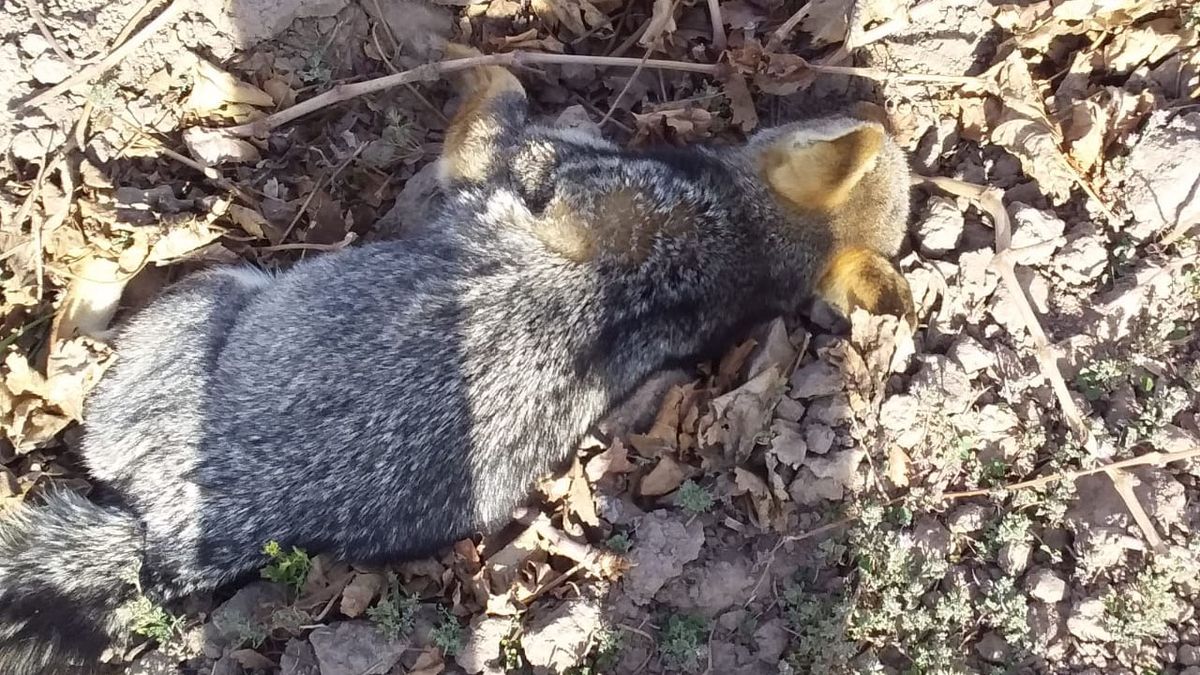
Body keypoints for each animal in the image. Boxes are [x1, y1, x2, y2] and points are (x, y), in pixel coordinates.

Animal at [0, 47, 913, 673]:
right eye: (844, 114)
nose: (882, 98)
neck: (739, 247)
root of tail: (184, 534)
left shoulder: (531, 164)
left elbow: (497, 95)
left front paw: (470, 58)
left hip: (210, 296)